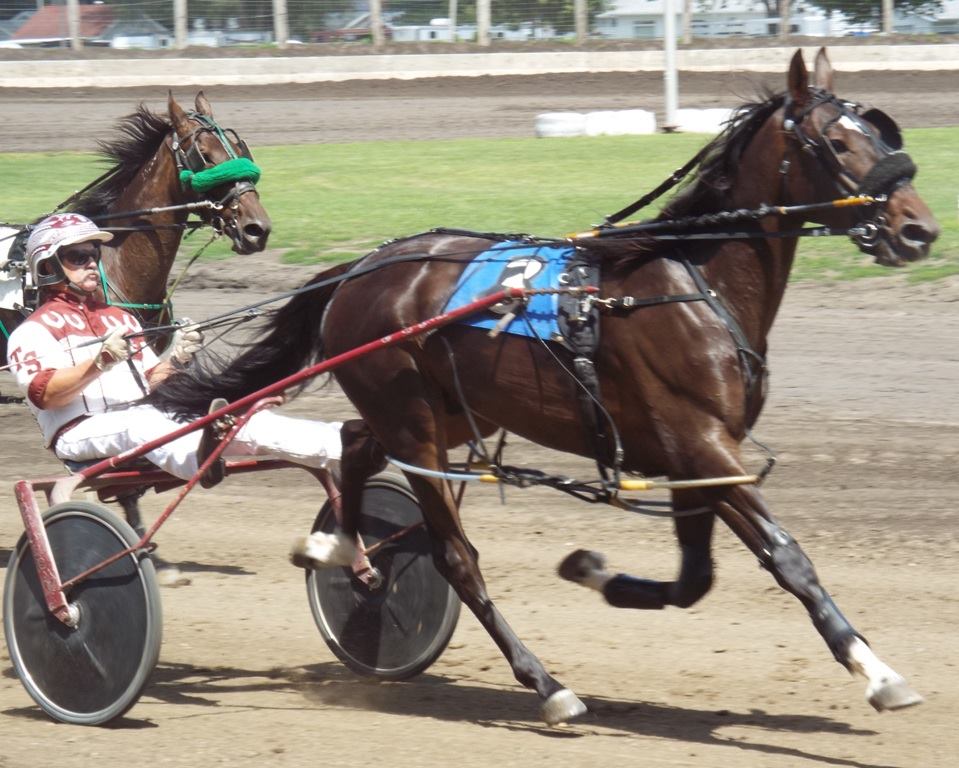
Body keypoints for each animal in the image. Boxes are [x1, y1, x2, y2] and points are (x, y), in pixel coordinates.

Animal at [151, 49, 939, 722]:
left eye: (880, 131)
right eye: (837, 144)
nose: (920, 230)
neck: (692, 282)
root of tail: (360, 268)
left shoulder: (693, 456)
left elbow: (694, 579)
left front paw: (594, 571)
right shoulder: (704, 445)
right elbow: (788, 559)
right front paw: (879, 674)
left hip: (442, 411)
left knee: (352, 443)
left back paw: (337, 549)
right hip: (415, 420)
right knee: (455, 557)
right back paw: (545, 684)